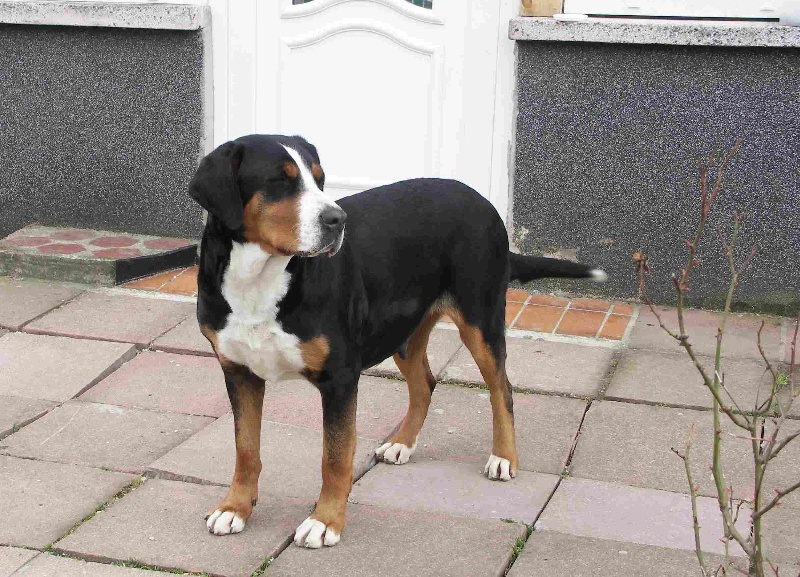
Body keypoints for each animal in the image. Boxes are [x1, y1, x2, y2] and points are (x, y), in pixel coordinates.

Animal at [188, 133, 604, 548]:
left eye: (320, 180)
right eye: (280, 180)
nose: (337, 220)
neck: (259, 279)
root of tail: (480, 200)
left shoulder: (339, 377)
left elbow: (334, 457)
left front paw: (325, 520)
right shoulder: (238, 372)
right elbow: (246, 448)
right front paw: (235, 508)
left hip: (479, 321)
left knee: (502, 389)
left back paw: (503, 458)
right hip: (402, 331)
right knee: (425, 385)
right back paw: (401, 443)